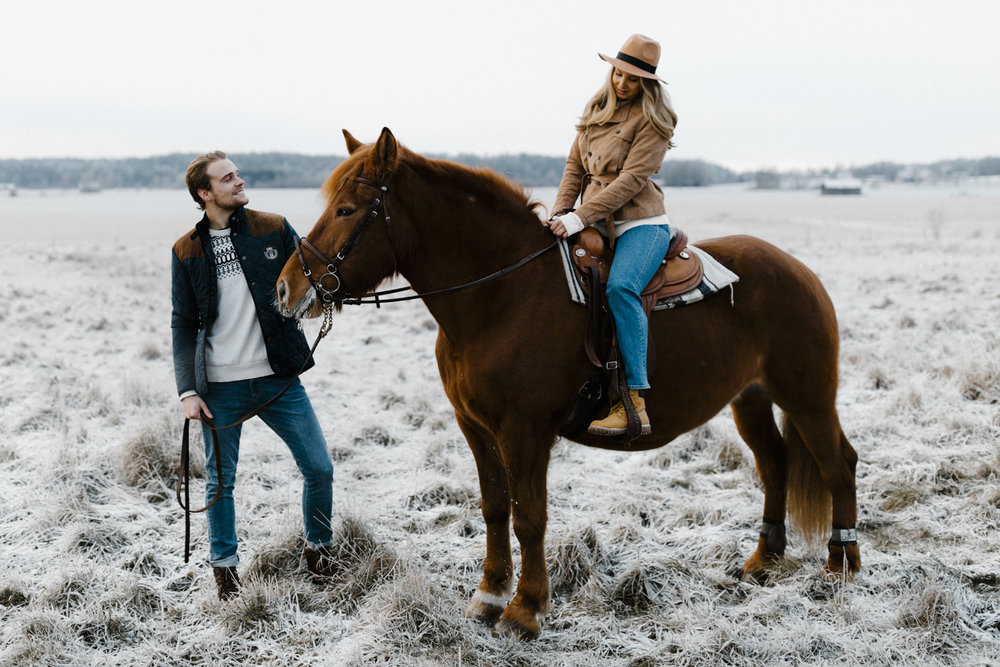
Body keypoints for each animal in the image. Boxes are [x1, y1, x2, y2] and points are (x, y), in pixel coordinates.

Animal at [274, 128, 860, 640]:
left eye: (347, 210)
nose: (286, 288)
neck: (503, 294)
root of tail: (800, 271)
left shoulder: (525, 431)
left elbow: (530, 517)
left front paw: (525, 610)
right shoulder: (476, 427)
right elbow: (494, 508)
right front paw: (490, 595)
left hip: (807, 398)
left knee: (838, 463)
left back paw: (841, 563)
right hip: (751, 400)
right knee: (775, 462)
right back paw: (765, 558)